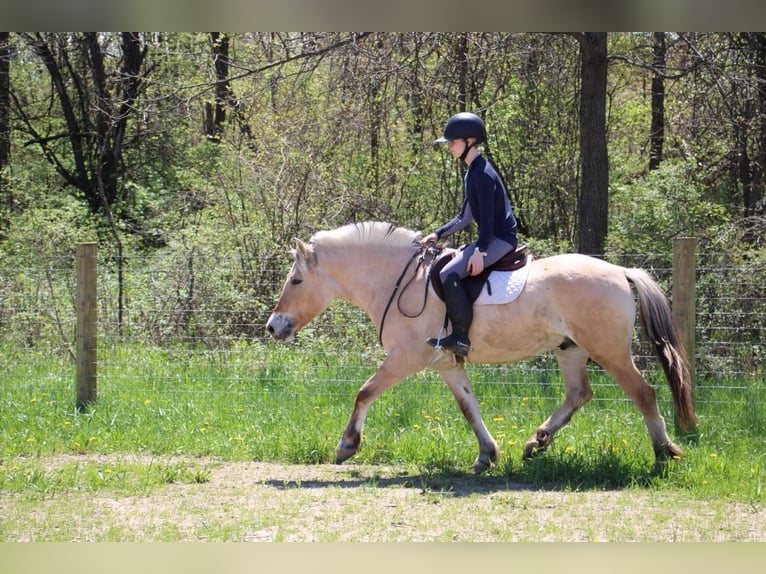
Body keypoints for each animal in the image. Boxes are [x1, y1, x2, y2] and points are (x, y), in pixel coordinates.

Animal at [268, 220, 700, 472]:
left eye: (296, 281)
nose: (273, 327)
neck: (399, 281)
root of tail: (621, 271)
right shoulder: (446, 364)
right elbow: (468, 407)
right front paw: (486, 455)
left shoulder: (407, 358)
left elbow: (364, 392)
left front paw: (346, 445)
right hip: (570, 349)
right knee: (579, 394)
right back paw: (536, 442)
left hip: (609, 351)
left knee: (643, 393)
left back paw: (664, 451)